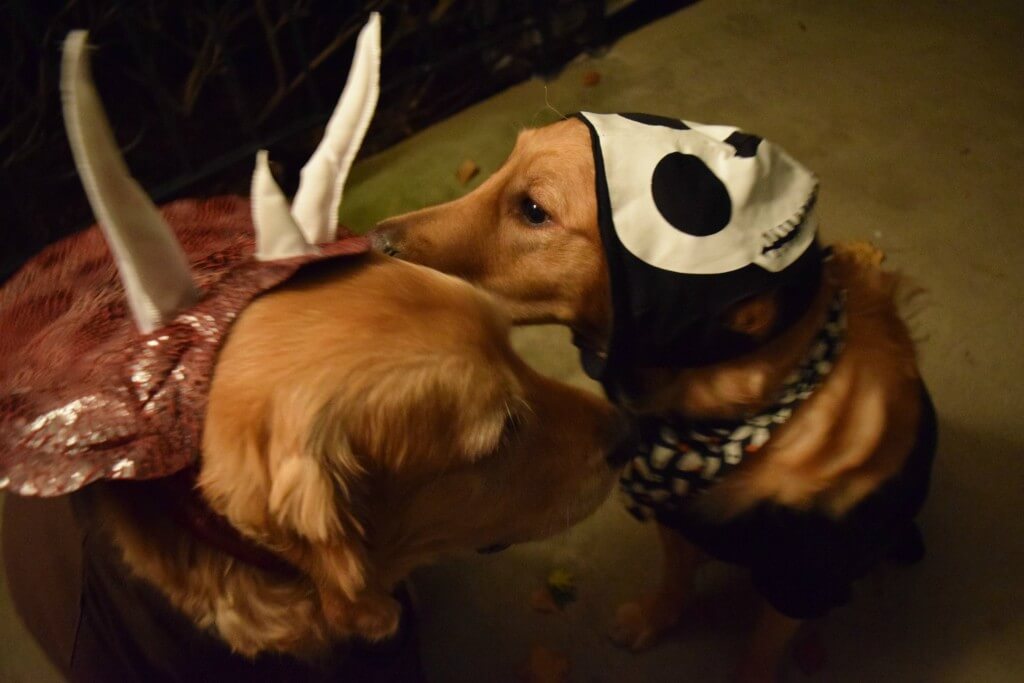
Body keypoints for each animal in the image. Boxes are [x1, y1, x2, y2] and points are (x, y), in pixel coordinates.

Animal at [374, 118, 937, 683]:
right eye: (504, 164)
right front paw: (653, 618)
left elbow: (759, 651)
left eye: (533, 210)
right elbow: (675, 579)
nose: (370, 243)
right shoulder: (675, 522)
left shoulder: (800, 582)